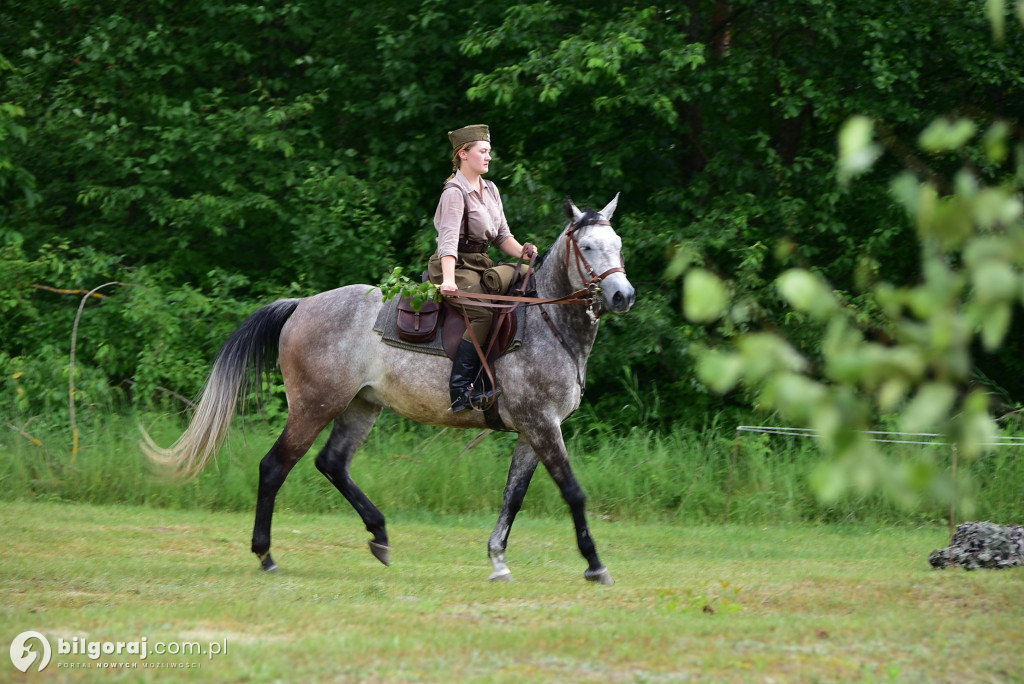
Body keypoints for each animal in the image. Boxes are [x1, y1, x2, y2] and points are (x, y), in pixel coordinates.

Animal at [143, 194, 630, 585]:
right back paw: (266, 555)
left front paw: (497, 561)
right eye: (588, 247)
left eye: (619, 245)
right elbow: (572, 492)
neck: (544, 322)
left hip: (360, 406)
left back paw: (378, 534)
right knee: (275, 466)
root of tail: (301, 305)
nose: (623, 295)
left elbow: (514, 497)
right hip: (314, 407)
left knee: (332, 463)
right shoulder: (542, 425)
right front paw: (595, 564)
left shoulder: (532, 431)